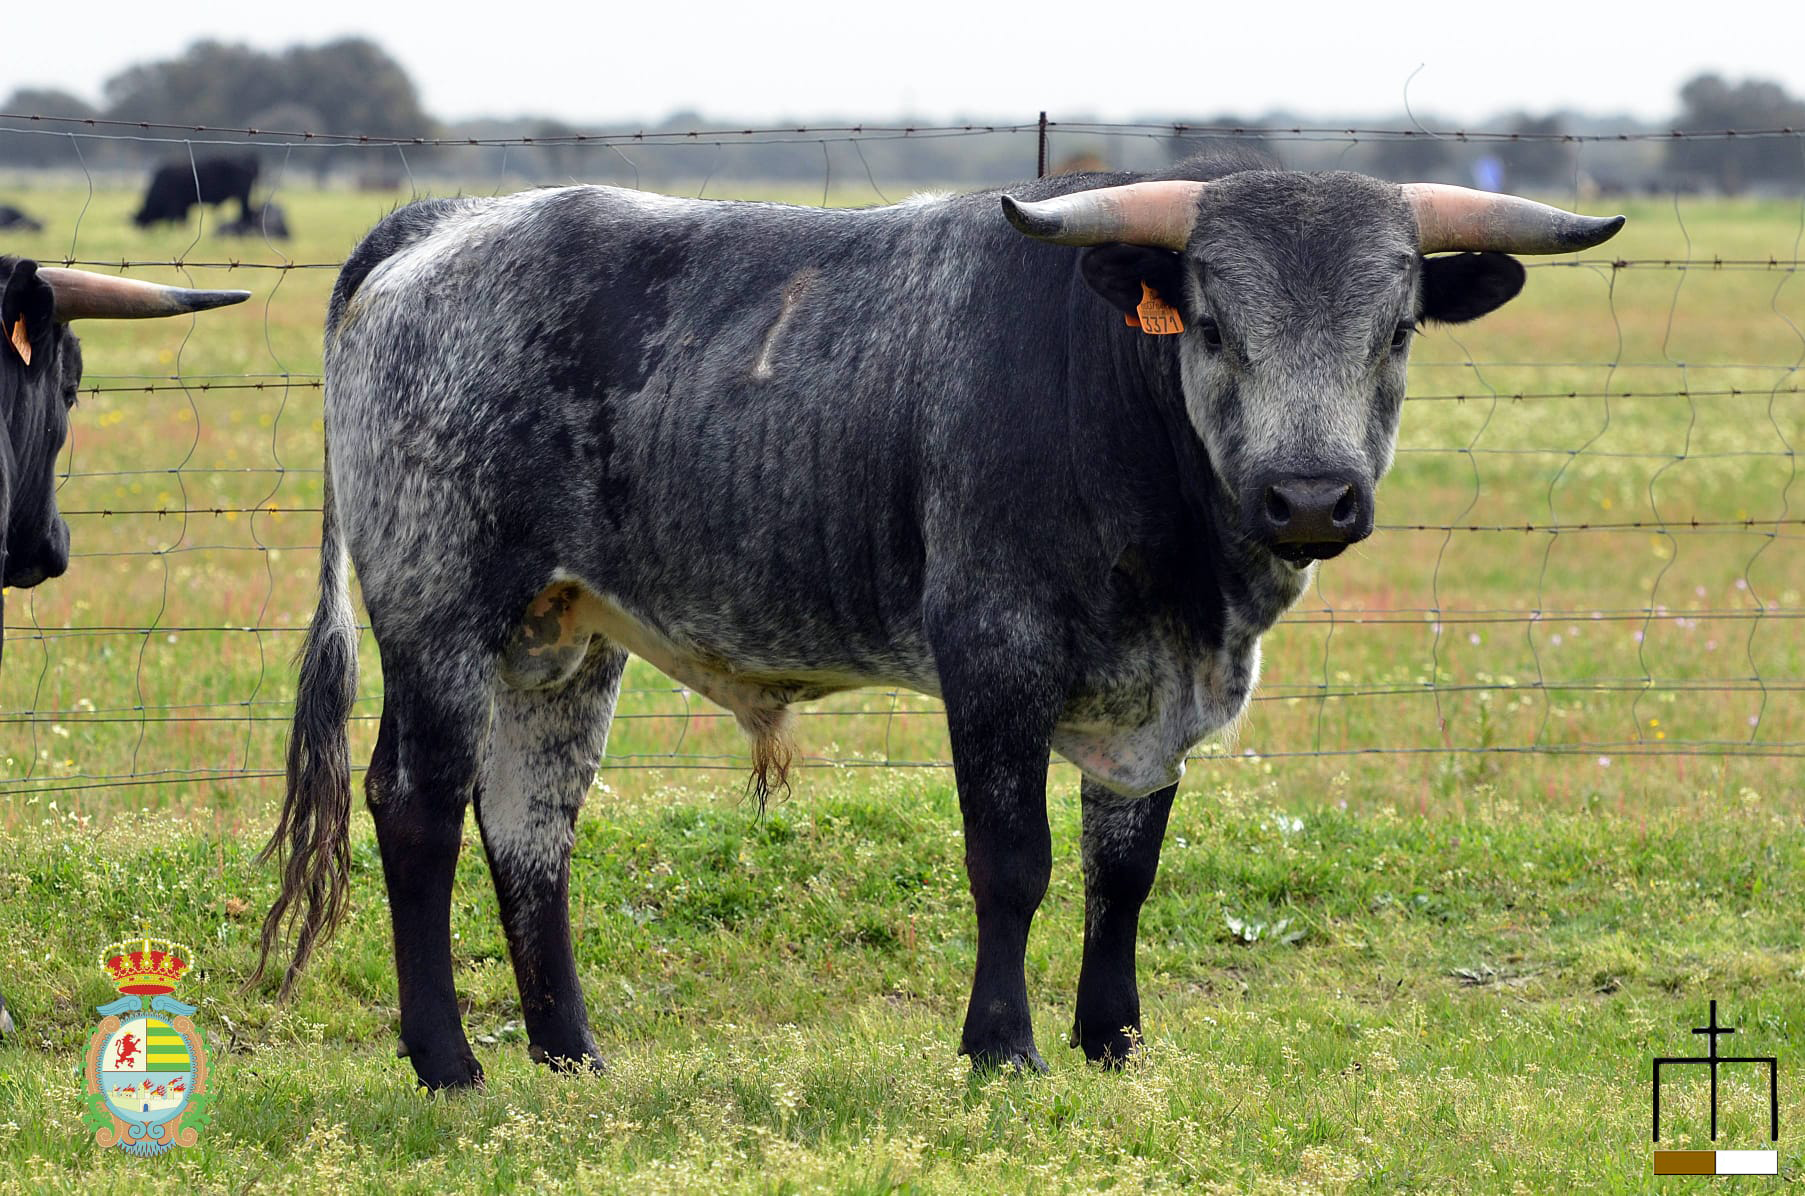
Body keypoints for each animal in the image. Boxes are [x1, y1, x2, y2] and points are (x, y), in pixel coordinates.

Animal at [131, 154, 259, 227]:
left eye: (142, 220)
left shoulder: (174, 205)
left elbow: (175, 220)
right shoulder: (183, 206)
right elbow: (183, 220)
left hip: (243, 195)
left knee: (246, 213)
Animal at [254, 154, 1624, 1089]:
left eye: (1394, 329)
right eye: (1213, 324)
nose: (1309, 497)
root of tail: (450, 221)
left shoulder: (1151, 701)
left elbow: (1124, 870)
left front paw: (1112, 1036)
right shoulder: (994, 658)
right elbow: (1012, 861)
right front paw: (1002, 1046)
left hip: (559, 637)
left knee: (530, 826)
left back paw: (570, 1054)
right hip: (437, 609)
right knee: (417, 810)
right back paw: (448, 1062)